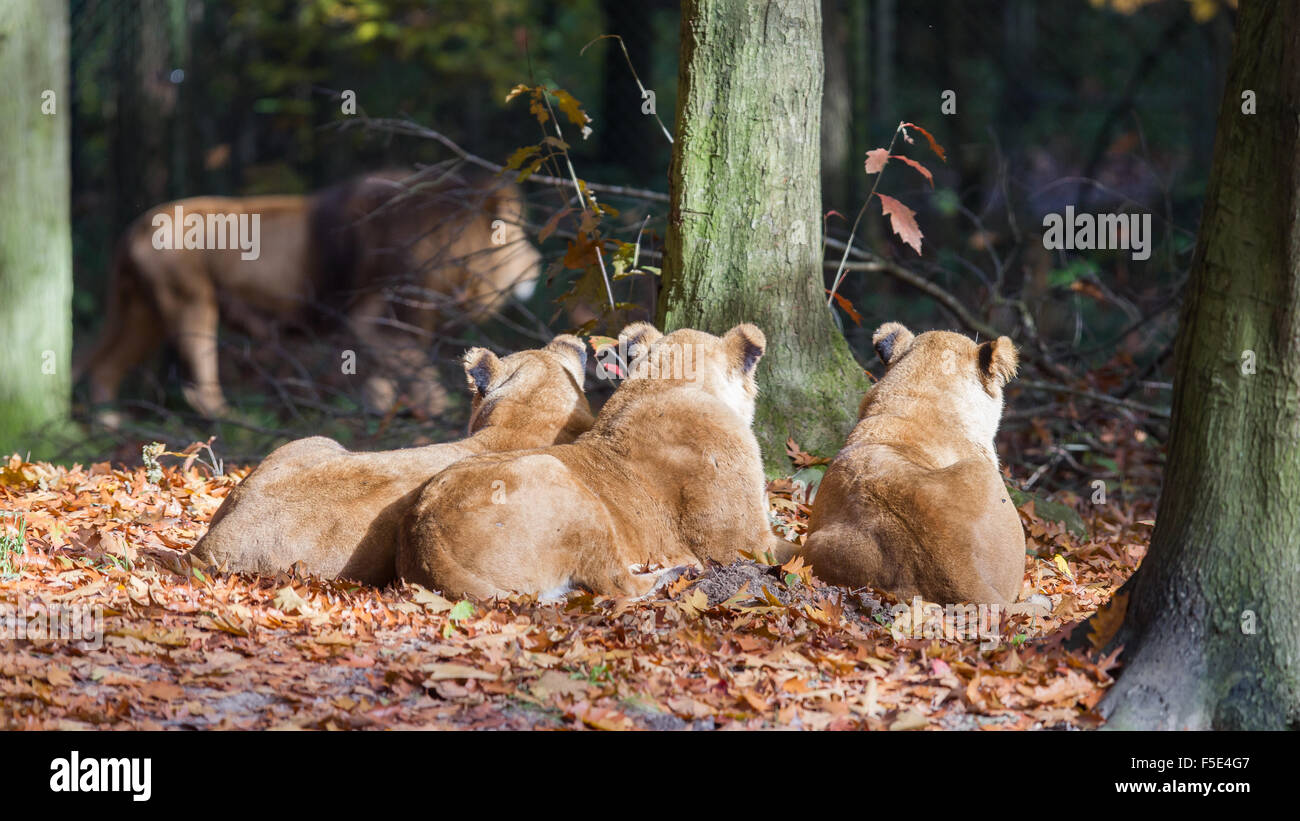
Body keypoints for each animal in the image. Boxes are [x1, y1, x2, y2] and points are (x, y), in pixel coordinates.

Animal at [73, 166, 540, 423]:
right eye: (518, 237)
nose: (538, 265)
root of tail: (136, 226)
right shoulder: (370, 316)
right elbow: (420, 373)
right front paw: (437, 418)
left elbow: (384, 377)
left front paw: (382, 415)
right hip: (189, 304)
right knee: (200, 383)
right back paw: (231, 421)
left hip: (144, 313)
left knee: (105, 369)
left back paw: (110, 422)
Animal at [397, 320, 780, 597]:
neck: (662, 384)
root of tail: (424, 535)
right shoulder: (740, 546)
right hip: (563, 484)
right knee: (617, 584)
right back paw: (676, 572)